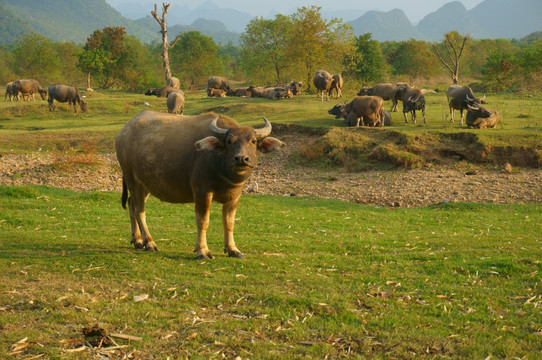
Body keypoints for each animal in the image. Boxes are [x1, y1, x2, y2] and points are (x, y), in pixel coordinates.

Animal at [114, 110, 284, 258]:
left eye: (253, 141)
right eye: (229, 141)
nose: (241, 158)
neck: (221, 168)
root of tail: (123, 132)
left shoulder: (235, 196)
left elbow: (229, 223)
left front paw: (233, 249)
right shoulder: (202, 192)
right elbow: (203, 221)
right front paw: (203, 251)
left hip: (146, 184)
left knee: (131, 204)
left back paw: (137, 240)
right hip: (131, 178)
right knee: (139, 210)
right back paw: (149, 243)